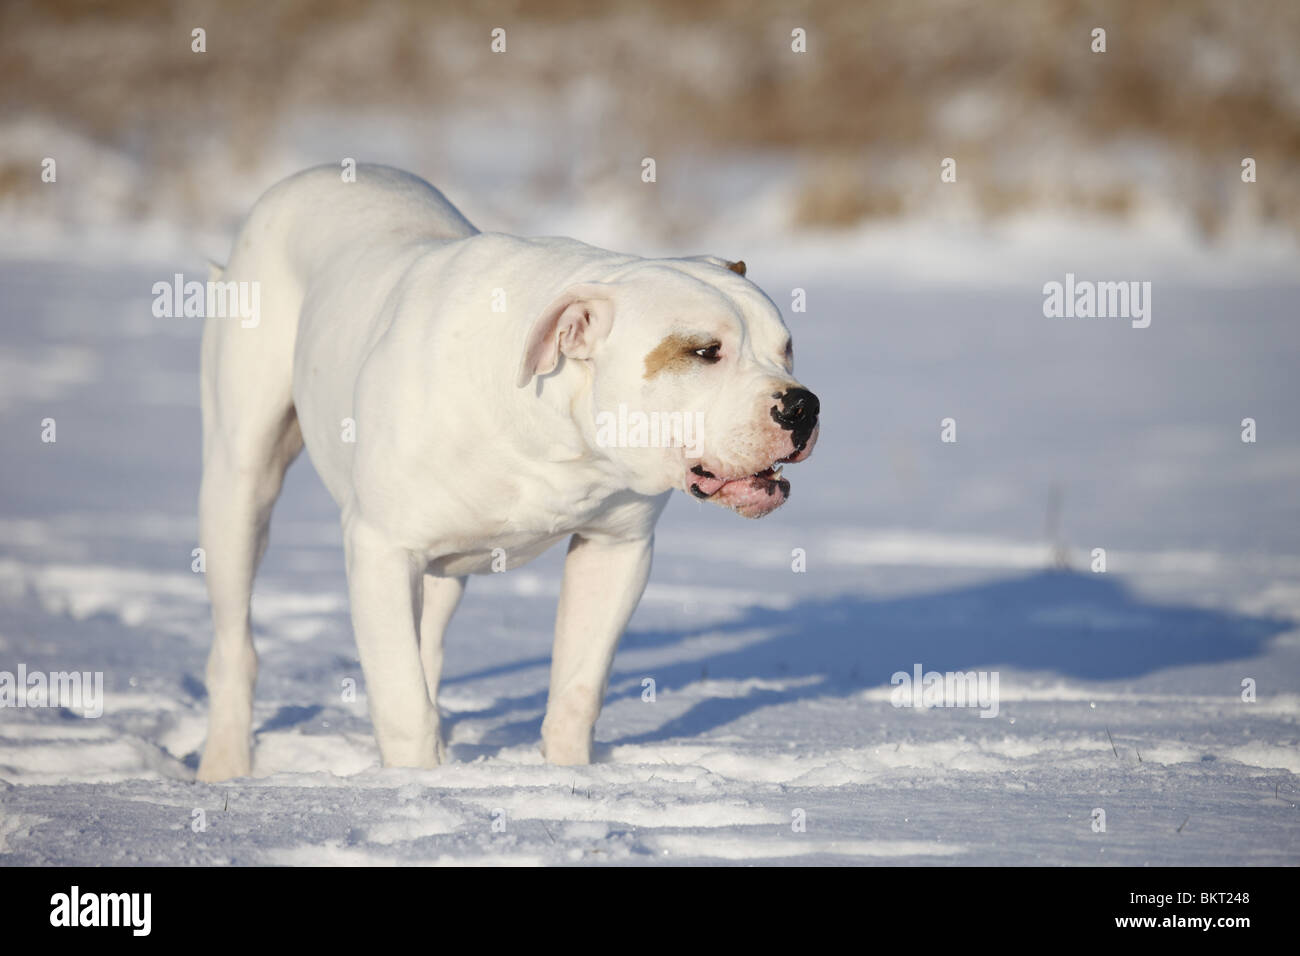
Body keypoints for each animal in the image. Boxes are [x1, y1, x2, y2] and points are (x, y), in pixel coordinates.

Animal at [196, 164, 816, 780]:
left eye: (787, 348)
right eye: (703, 351)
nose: (802, 405)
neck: (558, 434)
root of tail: (315, 172)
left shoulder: (616, 548)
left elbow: (576, 691)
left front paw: (569, 778)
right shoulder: (381, 549)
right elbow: (402, 702)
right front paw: (410, 787)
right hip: (241, 482)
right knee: (235, 645)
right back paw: (226, 764)